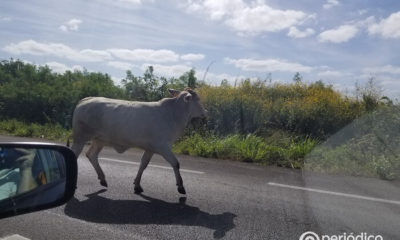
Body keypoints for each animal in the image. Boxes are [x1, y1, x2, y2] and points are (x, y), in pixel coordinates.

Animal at [69, 89, 206, 194]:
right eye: (198, 99)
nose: (206, 112)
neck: (173, 114)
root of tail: (86, 99)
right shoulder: (163, 147)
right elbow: (175, 163)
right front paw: (181, 186)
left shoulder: (151, 149)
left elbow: (143, 164)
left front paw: (137, 185)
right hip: (80, 138)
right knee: (75, 154)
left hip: (99, 140)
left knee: (91, 155)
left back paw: (102, 179)